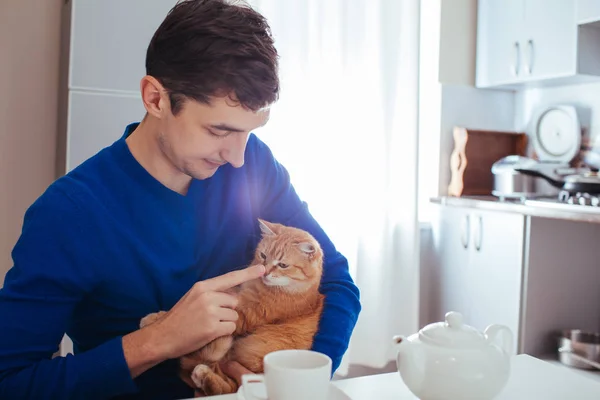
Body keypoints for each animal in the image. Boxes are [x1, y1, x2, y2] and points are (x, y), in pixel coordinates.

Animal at [139, 220, 324, 396]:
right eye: (263, 255)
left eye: (283, 265)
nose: (264, 272)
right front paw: (157, 319)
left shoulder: (244, 314)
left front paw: (159, 319)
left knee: (227, 386)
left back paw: (204, 376)